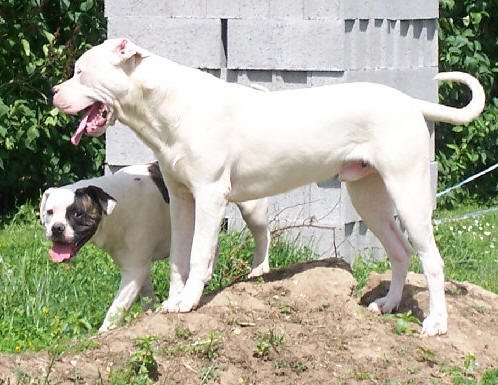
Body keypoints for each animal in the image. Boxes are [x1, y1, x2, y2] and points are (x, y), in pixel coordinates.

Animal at [40, 160, 270, 332]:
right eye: (49, 212)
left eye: (77, 213)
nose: (57, 228)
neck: (117, 205)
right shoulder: (138, 268)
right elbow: (146, 294)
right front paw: (148, 313)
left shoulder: (134, 271)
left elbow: (117, 308)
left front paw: (103, 332)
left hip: (252, 208)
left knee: (262, 235)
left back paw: (259, 268)